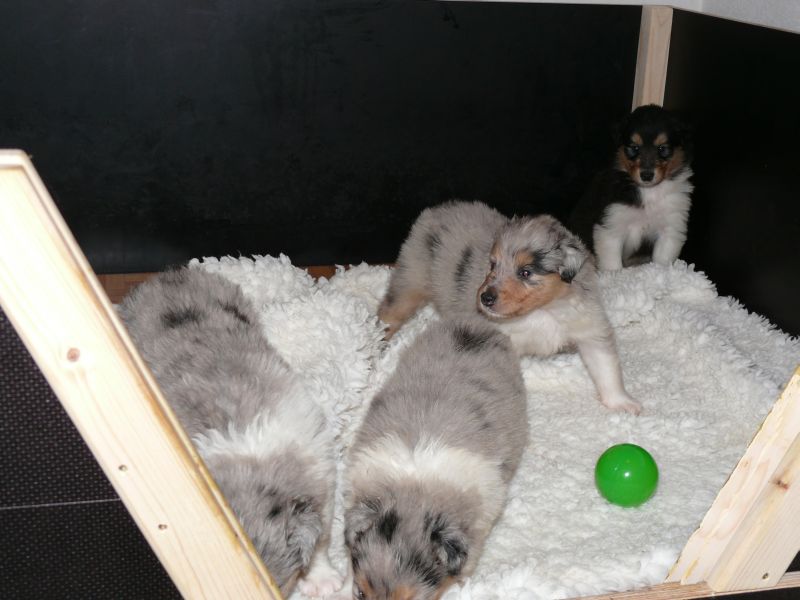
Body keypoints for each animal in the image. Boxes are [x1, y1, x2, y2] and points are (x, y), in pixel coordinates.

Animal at [119, 267, 341, 597]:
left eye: (276, 582)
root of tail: (167, 275)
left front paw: (324, 580)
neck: (250, 458)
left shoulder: (320, 475)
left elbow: (322, 540)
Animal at [378, 200, 641, 414]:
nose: (485, 298)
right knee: (389, 313)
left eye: (525, 272)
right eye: (493, 265)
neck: (543, 310)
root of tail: (437, 209)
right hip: (411, 278)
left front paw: (622, 403)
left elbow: (606, 367)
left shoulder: (588, 326)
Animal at [569, 104, 693, 271]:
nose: (646, 175)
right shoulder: (610, 225)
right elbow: (612, 264)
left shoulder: (670, 228)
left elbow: (662, 260)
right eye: (634, 148)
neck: (648, 191)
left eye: (662, 148)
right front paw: (613, 276)